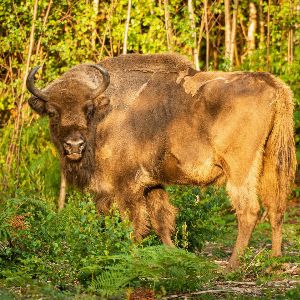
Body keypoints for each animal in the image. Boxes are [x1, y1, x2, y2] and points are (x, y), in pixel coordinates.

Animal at [26, 54, 296, 270]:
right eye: (52, 112)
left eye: (88, 109)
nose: (74, 146)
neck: (105, 114)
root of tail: (273, 84)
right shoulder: (151, 183)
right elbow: (160, 220)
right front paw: (172, 254)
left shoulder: (125, 187)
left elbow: (133, 224)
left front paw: (130, 257)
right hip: (271, 161)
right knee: (276, 207)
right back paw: (275, 261)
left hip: (240, 169)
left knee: (248, 211)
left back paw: (231, 265)